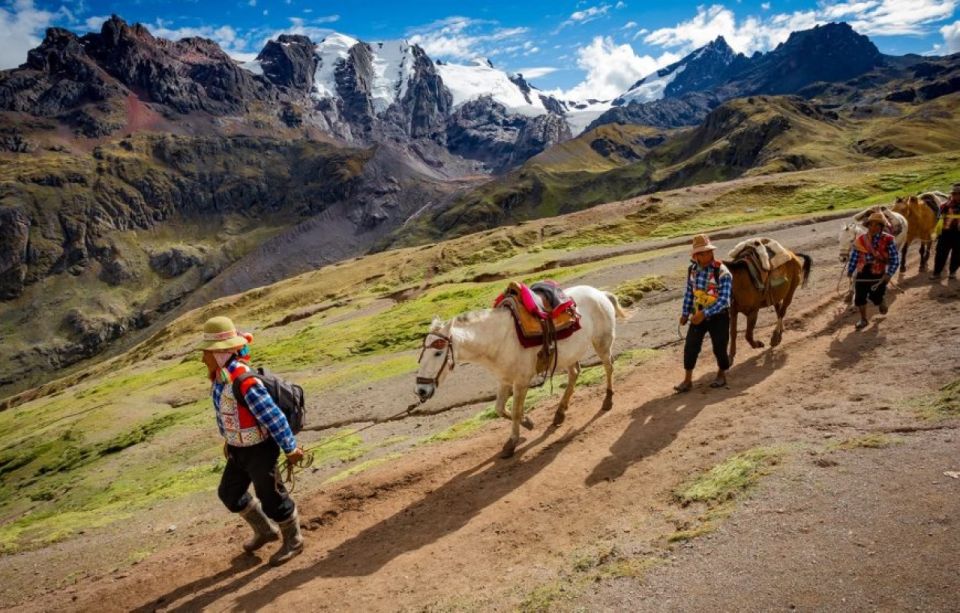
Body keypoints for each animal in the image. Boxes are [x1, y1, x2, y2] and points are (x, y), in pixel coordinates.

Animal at [414, 284, 628, 456]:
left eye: (438, 353)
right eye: (421, 355)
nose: (421, 391)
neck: (500, 339)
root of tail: (600, 293)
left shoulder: (522, 381)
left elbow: (516, 410)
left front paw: (512, 443)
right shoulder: (504, 380)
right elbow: (499, 409)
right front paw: (528, 422)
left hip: (602, 343)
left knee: (608, 366)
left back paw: (607, 401)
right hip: (570, 354)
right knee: (575, 373)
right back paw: (559, 414)